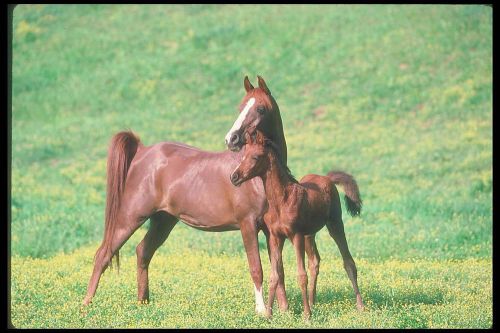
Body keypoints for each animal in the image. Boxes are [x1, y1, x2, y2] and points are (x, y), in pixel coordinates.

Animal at [82, 75, 292, 314]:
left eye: (260, 108)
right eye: (240, 107)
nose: (232, 139)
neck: (257, 176)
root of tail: (142, 151)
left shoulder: (271, 230)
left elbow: (278, 270)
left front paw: (284, 310)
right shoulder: (247, 225)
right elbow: (256, 268)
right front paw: (261, 311)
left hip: (163, 221)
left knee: (142, 251)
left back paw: (143, 303)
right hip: (129, 217)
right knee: (103, 254)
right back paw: (86, 305)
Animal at [231, 129, 368, 316]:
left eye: (255, 157)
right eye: (243, 156)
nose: (234, 177)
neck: (281, 201)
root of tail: (327, 178)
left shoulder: (295, 236)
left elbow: (301, 275)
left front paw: (306, 315)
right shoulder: (275, 237)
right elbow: (275, 275)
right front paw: (268, 315)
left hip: (335, 224)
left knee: (348, 262)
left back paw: (360, 306)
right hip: (309, 234)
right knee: (315, 262)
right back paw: (312, 302)